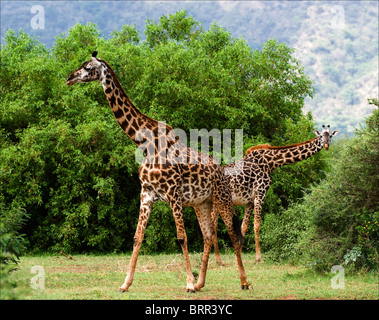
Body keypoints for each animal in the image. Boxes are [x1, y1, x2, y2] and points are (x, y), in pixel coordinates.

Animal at [66, 51, 249, 292]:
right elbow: (137, 237)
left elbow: (181, 237)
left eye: (87, 67)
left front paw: (188, 283)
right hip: (202, 203)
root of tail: (221, 171)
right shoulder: (146, 194)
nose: (69, 78)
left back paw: (243, 282)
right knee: (208, 235)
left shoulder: (173, 194)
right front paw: (125, 284)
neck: (144, 143)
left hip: (222, 199)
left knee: (233, 234)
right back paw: (201, 282)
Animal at [212, 126, 340, 264]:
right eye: (321, 136)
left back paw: (217, 260)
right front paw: (259, 258)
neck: (270, 162)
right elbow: (257, 225)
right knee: (212, 225)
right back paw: (218, 260)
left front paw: (238, 258)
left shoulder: (250, 200)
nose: (326, 145)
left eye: (330, 136)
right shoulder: (260, 193)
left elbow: (243, 227)